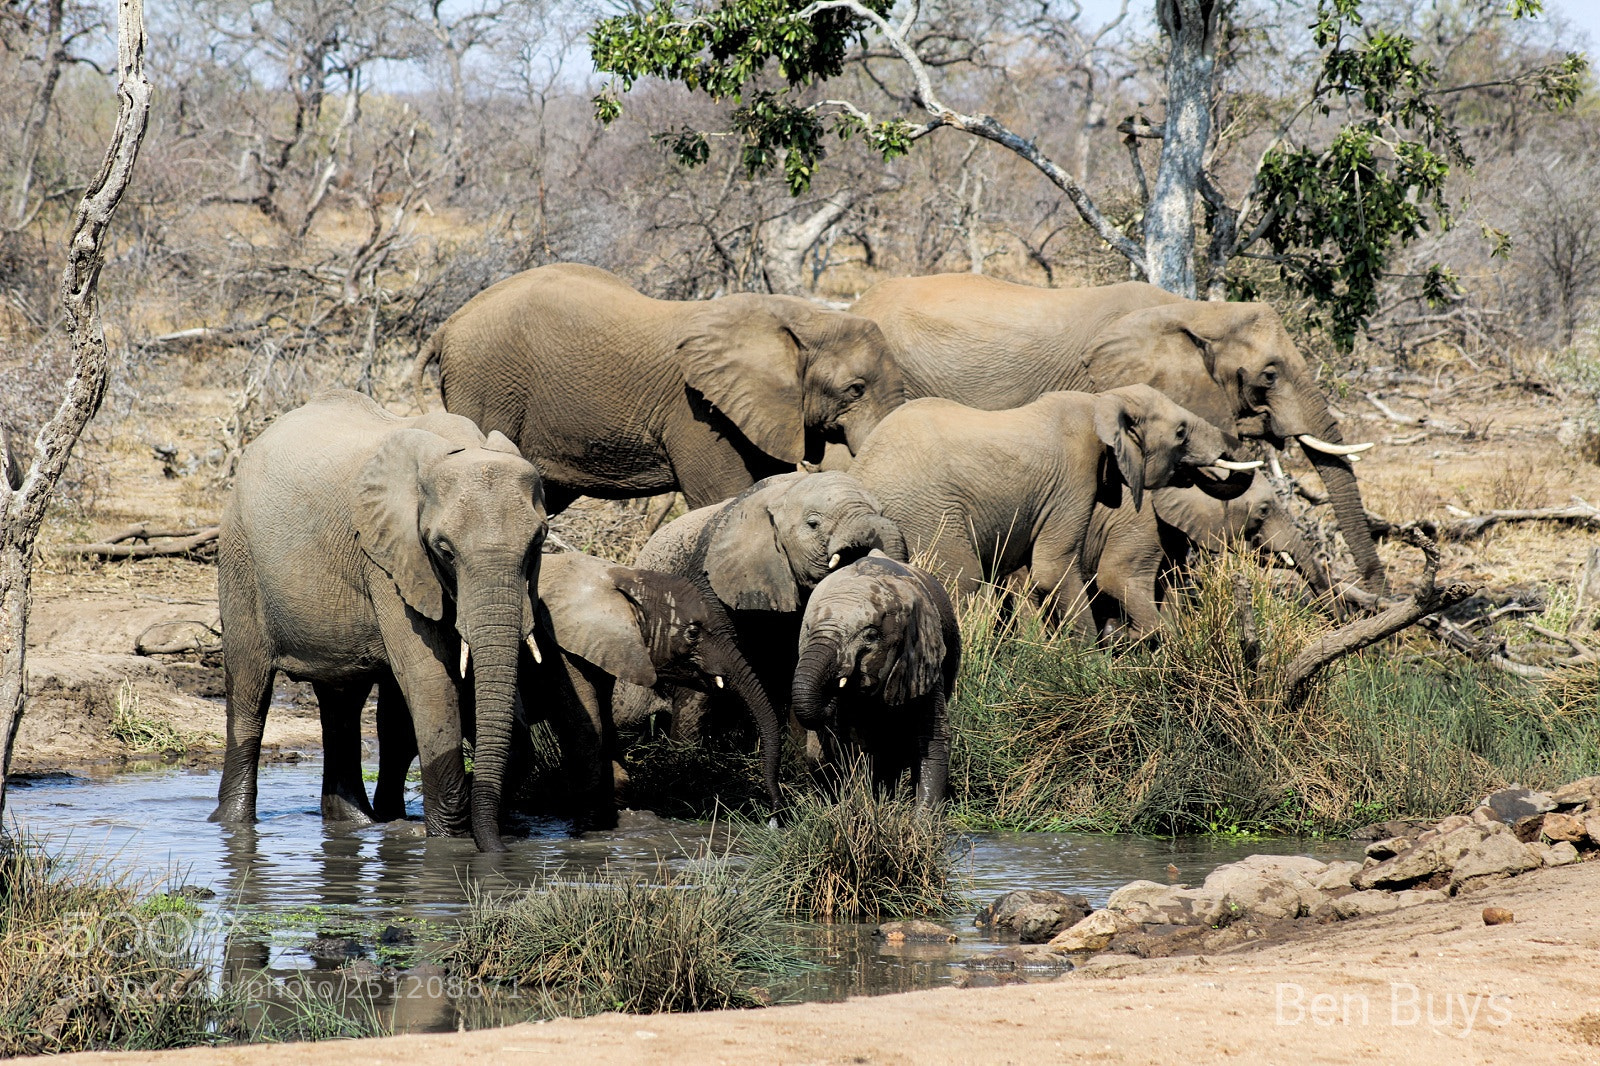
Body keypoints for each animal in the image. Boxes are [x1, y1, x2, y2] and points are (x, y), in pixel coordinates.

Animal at [211, 390, 547, 853]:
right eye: (444, 551)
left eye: (538, 544)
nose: (498, 850)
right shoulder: (388, 560)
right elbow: (428, 678)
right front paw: (450, 842)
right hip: (240, 560)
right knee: (249, 693)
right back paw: (232, 824)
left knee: (341, 702)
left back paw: (353, 823)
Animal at [417, 262, 906, 514]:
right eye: (855, 389)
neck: (802, 316)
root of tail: (447, 326)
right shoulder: (699, 412)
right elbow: (721, 499)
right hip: (487, 386)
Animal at [616, 470, 907, 809]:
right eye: (813, 523)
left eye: (883, 511)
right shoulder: (708, 582)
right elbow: (702, 680)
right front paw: (686, 769)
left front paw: (799, 779)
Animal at [790, 555, 960, 808]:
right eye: (808, 629)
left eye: (871, 636)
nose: (832, 689)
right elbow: (826, 753)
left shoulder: (924, 660)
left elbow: (933, 743)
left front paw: (920, 819)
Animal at [847, 385, 1259, 629]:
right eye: (1181, 433)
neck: (1102, 401)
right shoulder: (1072, 479)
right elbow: (1051, 571)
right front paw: (1091, 666)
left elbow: (1033, 579)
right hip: (929, 513)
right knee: (963, 581)